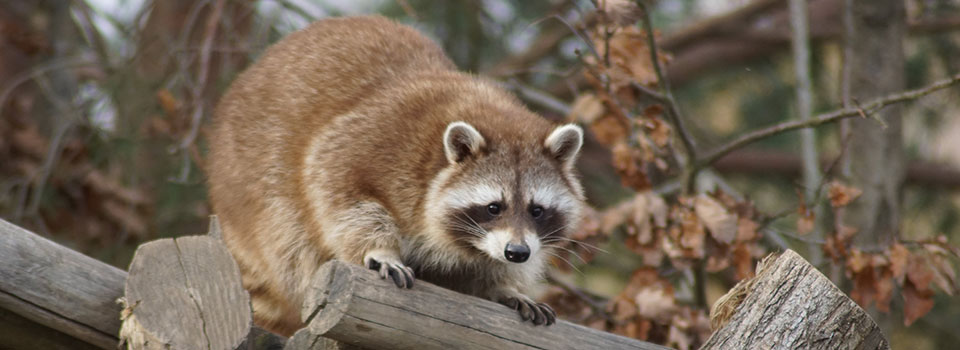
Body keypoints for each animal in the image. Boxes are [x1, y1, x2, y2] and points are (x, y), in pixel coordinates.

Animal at [208, 15, 584, 334]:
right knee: (290, 239)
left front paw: (504, 285)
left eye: (537, 210)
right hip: (251, 186)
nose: (517, 253)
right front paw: (380, 248)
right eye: (494, 207)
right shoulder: (377, 142)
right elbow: (337, 188)